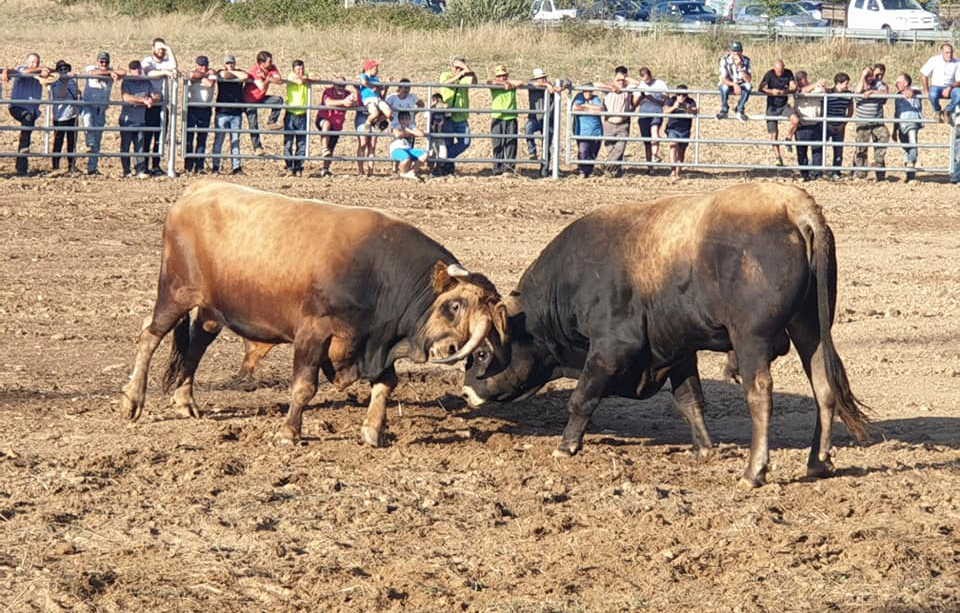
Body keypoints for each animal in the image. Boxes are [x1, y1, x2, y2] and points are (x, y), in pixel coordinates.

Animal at [121, 182, 506, 444]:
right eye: (453, 305)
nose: (450, 349)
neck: (377, 271)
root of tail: (196, 190)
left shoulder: (375, 341)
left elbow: (386, 384)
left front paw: (372, 430)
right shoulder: (313, 333)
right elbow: (304, 387)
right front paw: (289, 432)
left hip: (212, 309)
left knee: (197, 342)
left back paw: (185, 400)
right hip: (175, 293)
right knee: (150, 335)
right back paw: (133, 401)